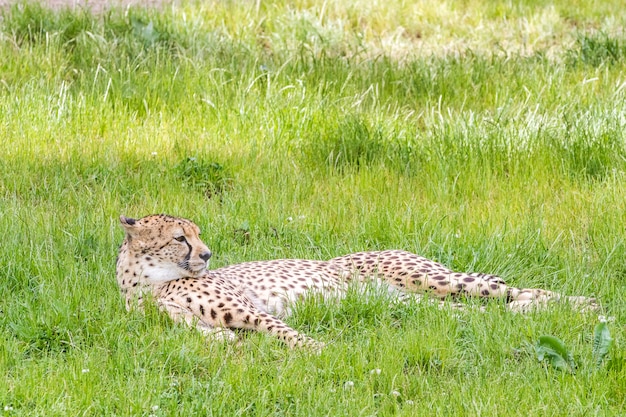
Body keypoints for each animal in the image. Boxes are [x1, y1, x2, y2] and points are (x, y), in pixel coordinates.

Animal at [114, 214, 596, 348]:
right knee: (482, 314)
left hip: (432, 279)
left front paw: (322, 351)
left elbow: (288, 334)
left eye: (196, 234)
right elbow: (212, 336)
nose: (208, 254)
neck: (149, 287)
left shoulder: (250, 310)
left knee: (508, 288)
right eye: (180, 237)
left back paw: (586, 304)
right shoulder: (185, 325)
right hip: (413, 302)